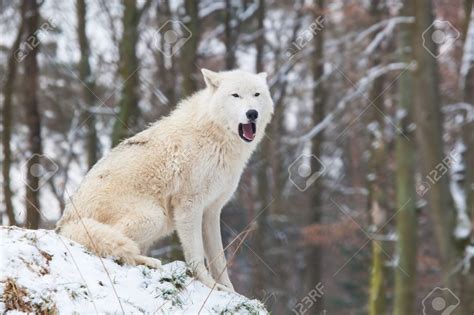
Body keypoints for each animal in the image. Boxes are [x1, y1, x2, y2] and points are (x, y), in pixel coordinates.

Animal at [56, 68, 274, 292]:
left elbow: (219, 259)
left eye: (256, 94)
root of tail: (65, 224)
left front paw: (228, 289)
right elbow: (196, 255)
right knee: (117, 244)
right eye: (235, 95)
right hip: (154, 216)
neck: (214, 136)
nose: (252, 113)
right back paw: (149, 261)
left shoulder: (212, 211)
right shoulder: (189, 206)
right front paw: (207, 283)